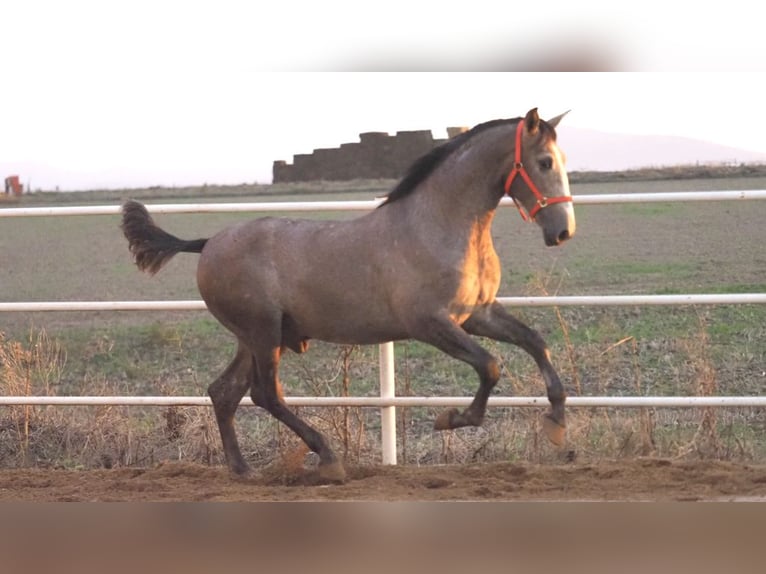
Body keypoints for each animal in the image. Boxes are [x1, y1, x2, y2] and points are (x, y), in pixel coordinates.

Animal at [121, 107, 576, 482]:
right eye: (544, 162)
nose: (562, 231)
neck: (438, 226)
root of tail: (208, 243)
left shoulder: (476, 314)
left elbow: (535, 342)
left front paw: (556, 423)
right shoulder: (430, 323)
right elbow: (491, 366)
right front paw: (452, 418)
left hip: (257, 337)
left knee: (225, 392)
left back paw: (243, 470)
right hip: (263, 333)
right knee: (265, 394)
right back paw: (327, 458)